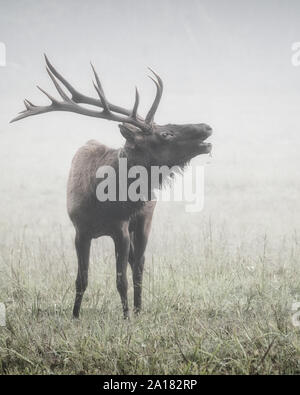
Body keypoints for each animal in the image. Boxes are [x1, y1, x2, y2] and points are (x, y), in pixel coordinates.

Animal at [11, 55, 213, 320]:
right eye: (166, 133)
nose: (207, 127)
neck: (102, 202)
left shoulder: (121, 228)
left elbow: (121, 280)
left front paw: (127, 317)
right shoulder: (80, 230)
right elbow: (81, 279)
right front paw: (75, 315)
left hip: (145, 219)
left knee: (139, 264)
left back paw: (138, 309)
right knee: (134, 262)